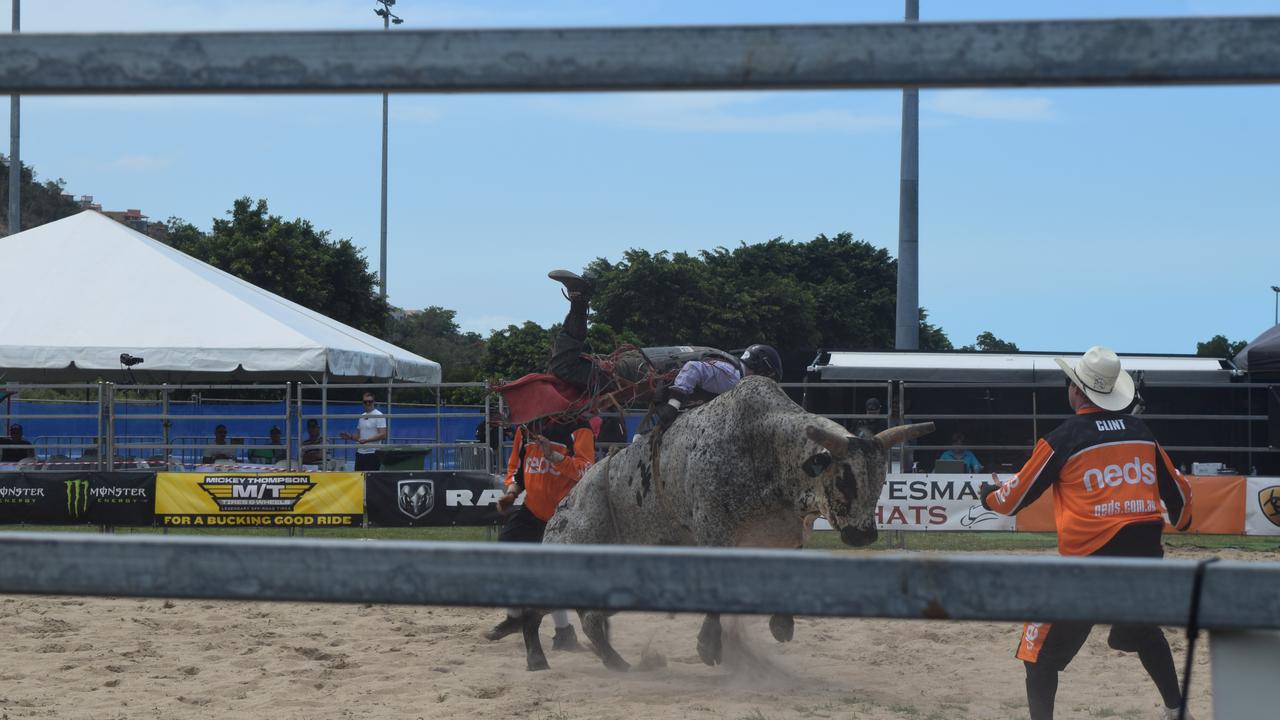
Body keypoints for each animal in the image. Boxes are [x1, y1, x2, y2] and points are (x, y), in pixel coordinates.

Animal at [514, 371, 936, 671]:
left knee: (584, 619)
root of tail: (565, 503)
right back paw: (549, 659)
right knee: (547, 613)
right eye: (844, 478)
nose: (864, 535)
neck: (765, 450)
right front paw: (708, 646)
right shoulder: (714, 533)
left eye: (880, 480)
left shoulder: (785, 537)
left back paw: (607, 662)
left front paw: (782, 625)